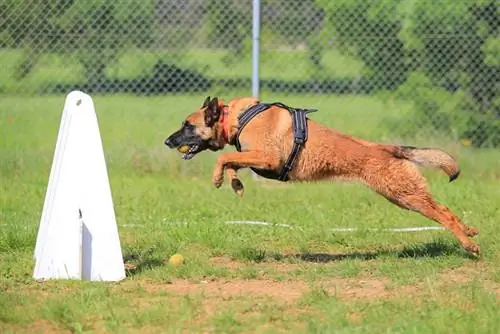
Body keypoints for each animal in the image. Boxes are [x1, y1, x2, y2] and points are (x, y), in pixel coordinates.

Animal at [165, 95, 480, 258]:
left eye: (187, 125)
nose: (168, 141)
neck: (237, 118)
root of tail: (387, 148)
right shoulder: (256, 160)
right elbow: (232, 161)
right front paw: (235, 183)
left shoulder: (267, 158)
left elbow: (223, 157)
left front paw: (219, 178)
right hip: (403, 196)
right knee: (446, 208)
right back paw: (470, 230)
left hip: (405, 195)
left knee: (443, 214)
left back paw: (468, 243)